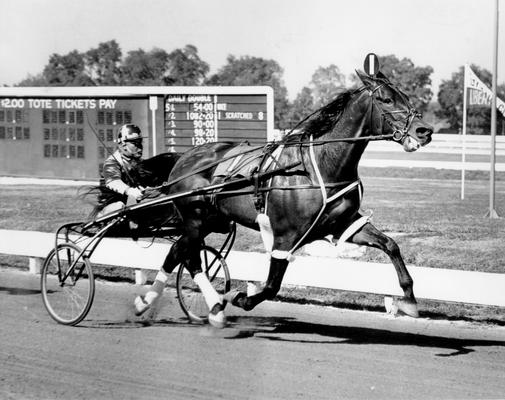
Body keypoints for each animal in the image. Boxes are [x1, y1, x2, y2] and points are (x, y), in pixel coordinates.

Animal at [135, 69, 434, 328]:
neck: (320, 165)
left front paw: (409, 300)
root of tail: (184, 156)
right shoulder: (285, 235)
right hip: (195, 217)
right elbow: (271, 285)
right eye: (386, 99)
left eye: (406, 96)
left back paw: (146, 302)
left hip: (210, 220)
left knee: (177, 251)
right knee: (190, 258)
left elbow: (390, 244)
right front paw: (240, 297)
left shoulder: (343, 225)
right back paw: (211, 307)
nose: (425, 131)